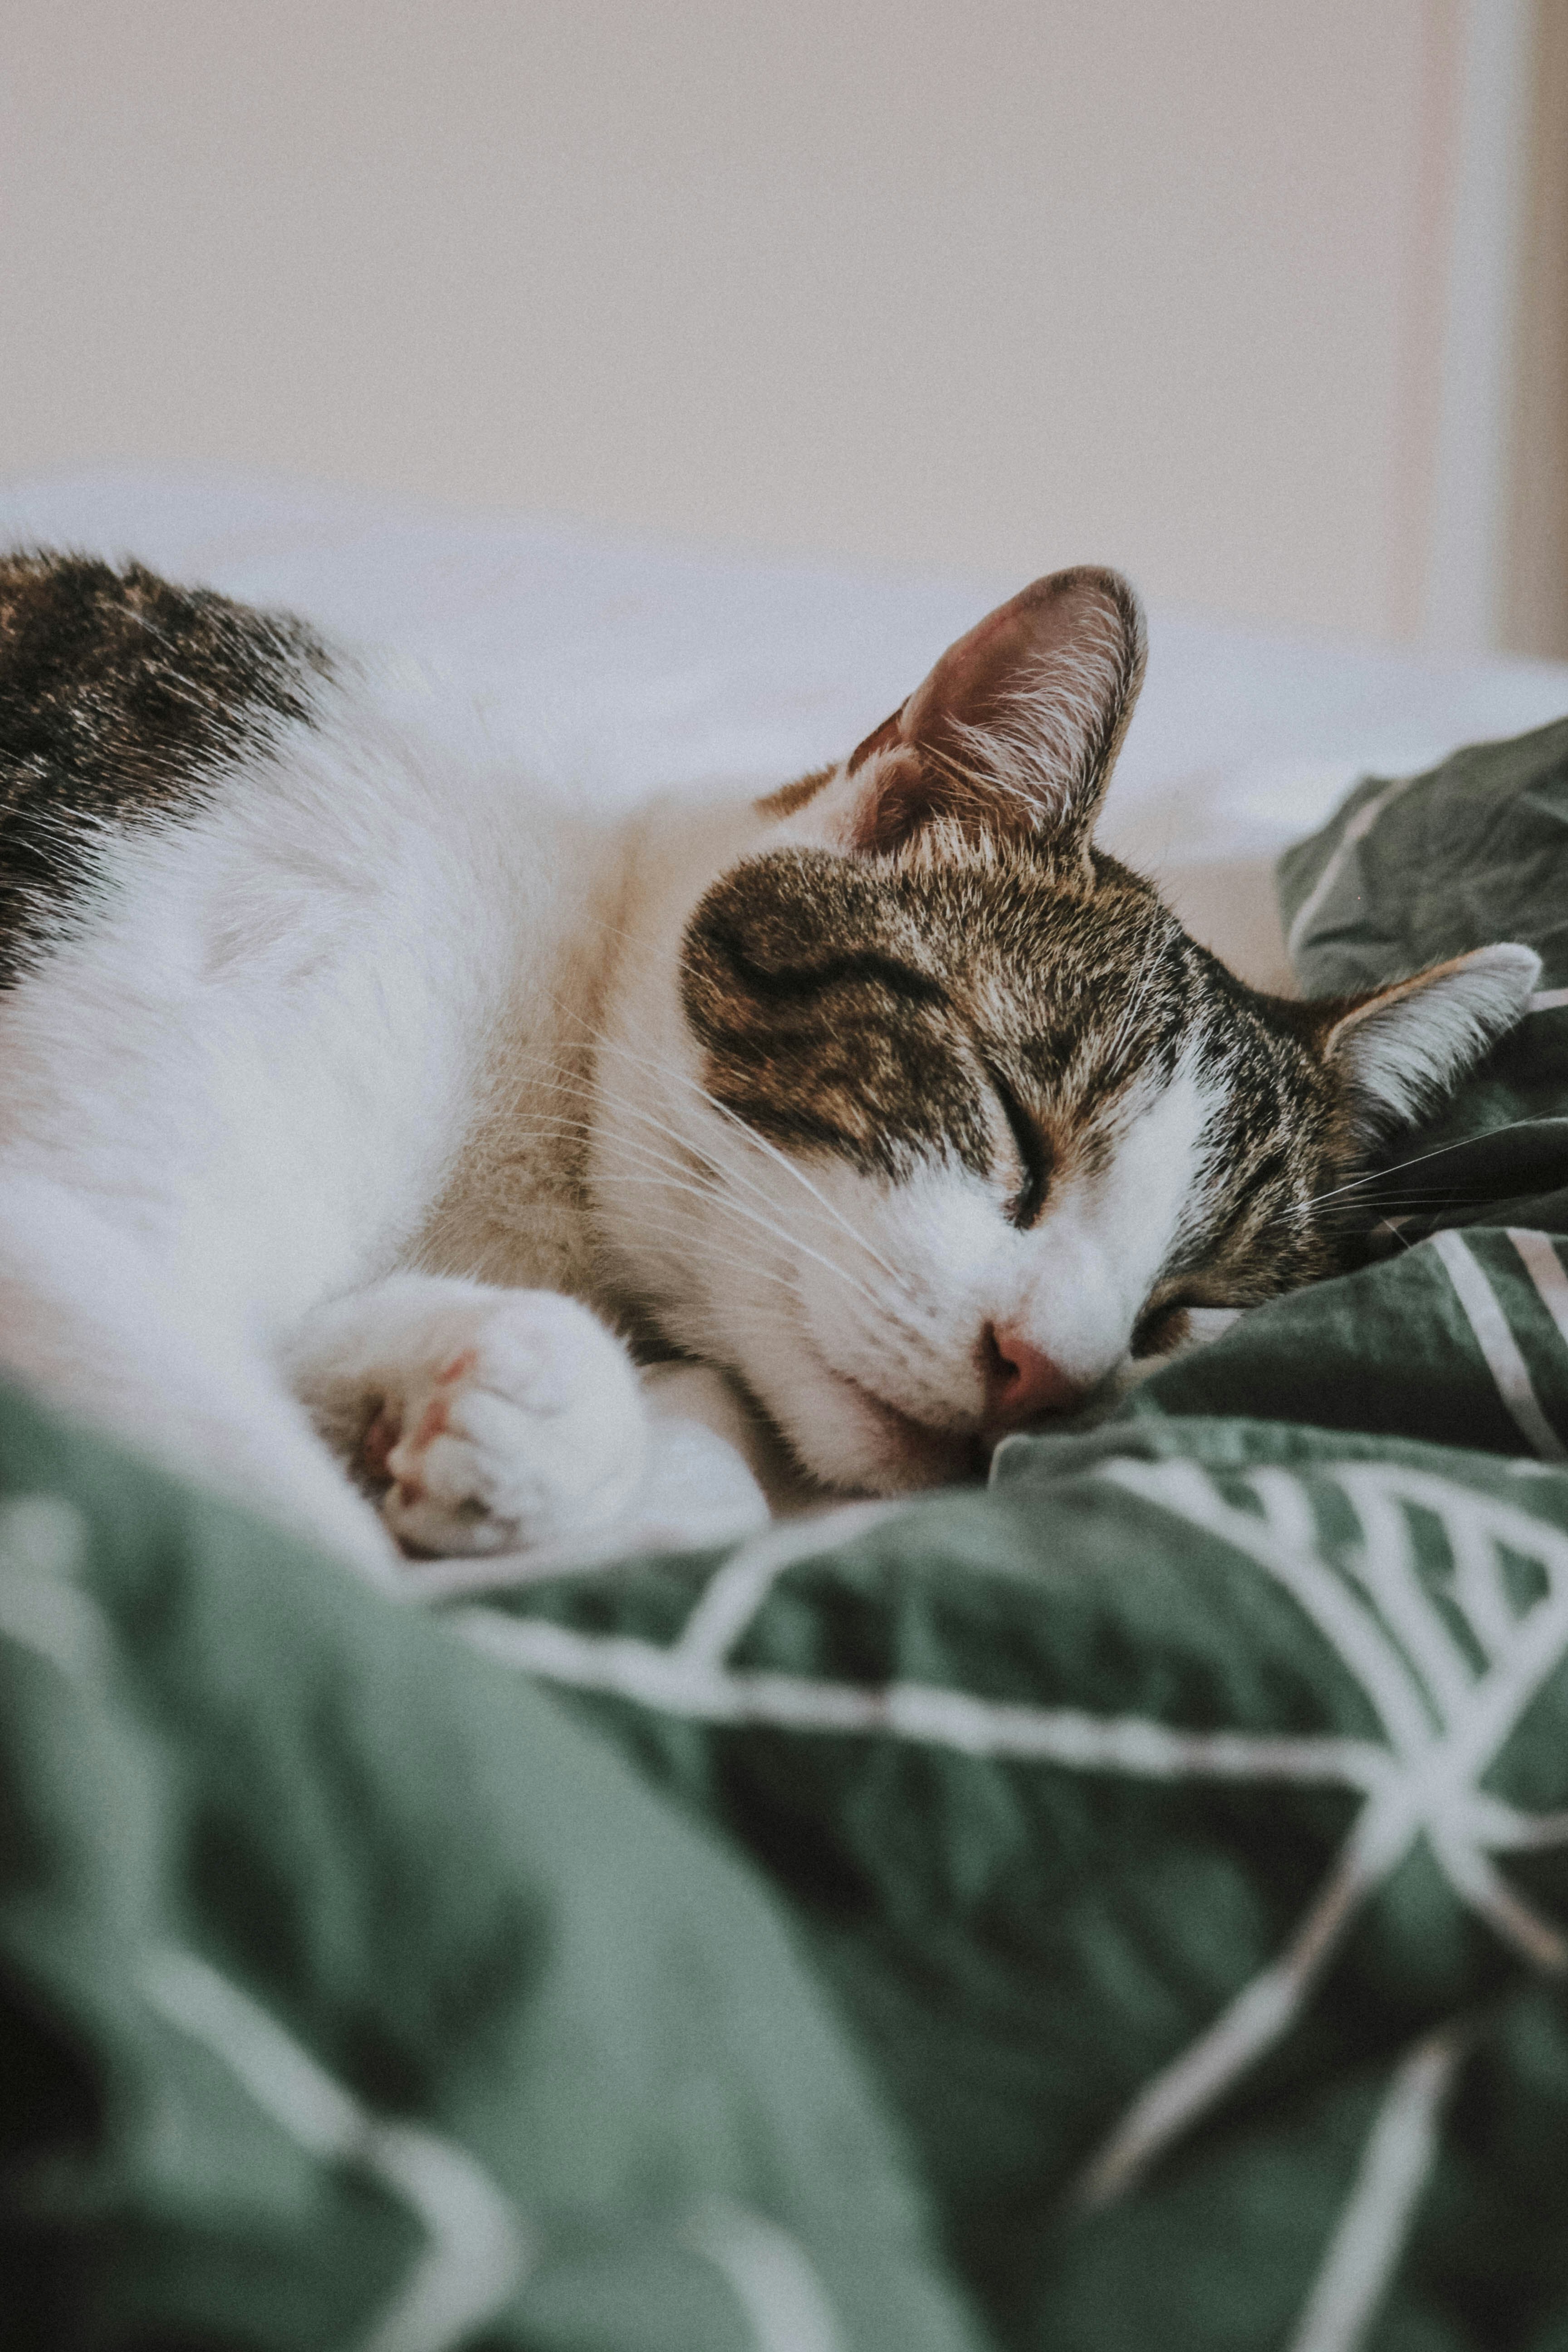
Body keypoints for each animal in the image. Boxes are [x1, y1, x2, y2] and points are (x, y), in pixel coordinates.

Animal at [0, 550, 1542, 1580]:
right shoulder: (70, 1228)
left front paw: (502, 1406)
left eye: (1186, 1309)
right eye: (1012, 1125)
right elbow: (307, 1562)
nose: (1045, 1377)